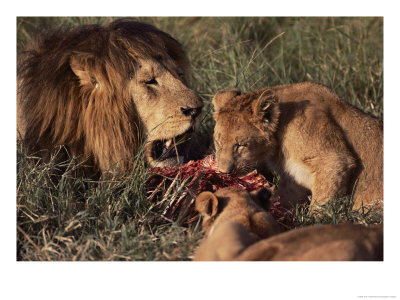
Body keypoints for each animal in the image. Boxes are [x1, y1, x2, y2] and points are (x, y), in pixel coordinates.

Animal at [211, 82, 382, 209]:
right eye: (218, 142)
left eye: (240, 145)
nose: (224, 172)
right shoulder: (292, 180)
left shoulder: (335, 160)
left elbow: (321, 201)